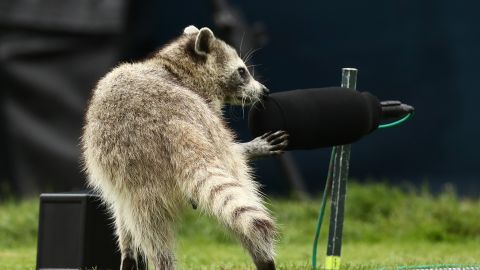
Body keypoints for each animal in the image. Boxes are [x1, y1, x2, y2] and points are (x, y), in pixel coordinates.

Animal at [81, 25, 288, 270]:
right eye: (242, 71)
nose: (264, 91)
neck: (174, 68)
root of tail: (172, 122)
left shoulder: (116, 181)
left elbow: (121, 214)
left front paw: (129, 251)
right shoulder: (212, 121)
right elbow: (233, 157)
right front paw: (249, 148)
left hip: (132, 171)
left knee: (142, 218)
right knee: (241, 181)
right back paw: (261, 254)